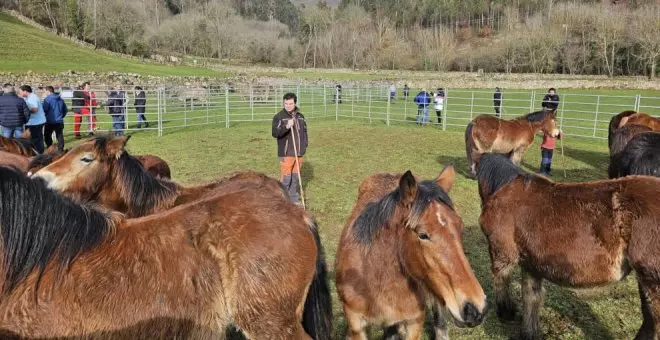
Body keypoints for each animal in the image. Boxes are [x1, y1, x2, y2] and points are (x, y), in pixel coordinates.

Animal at [476, 153, 660, 340]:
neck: (505, 191)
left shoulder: (503, 256)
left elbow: (502, 285)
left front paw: (506, 313)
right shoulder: (531, 265)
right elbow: (531, 298)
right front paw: (529, 332)